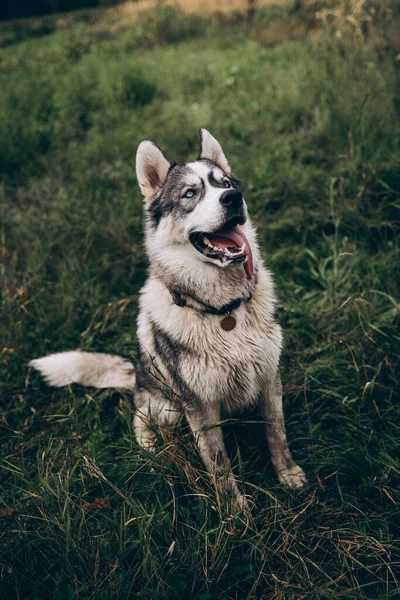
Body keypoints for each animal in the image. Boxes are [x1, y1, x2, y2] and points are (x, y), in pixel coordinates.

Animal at [30, 129, 306, 508]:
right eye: (190, 193)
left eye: (225, 184)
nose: (234, 198)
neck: (223, 311)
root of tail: (137, 373)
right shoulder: (199, 406)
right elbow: (219, 466)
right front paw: (236, 513)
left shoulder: (268, 380)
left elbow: (277, 433)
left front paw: (288, 474)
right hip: (168, 408)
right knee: (139, 418)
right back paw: (150, 448)